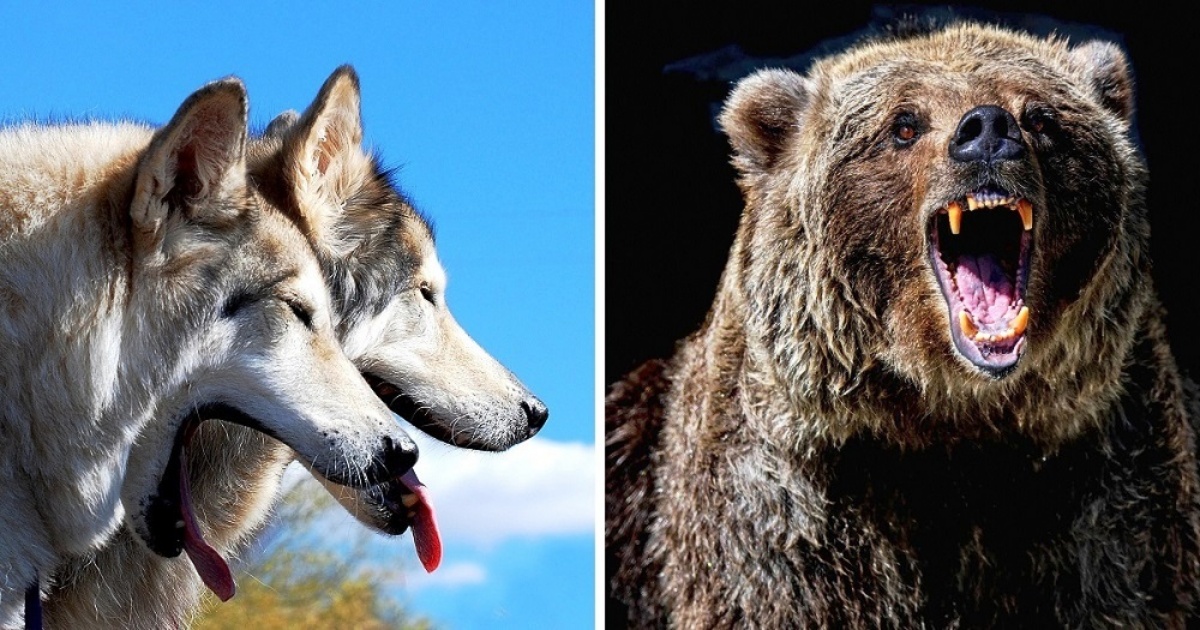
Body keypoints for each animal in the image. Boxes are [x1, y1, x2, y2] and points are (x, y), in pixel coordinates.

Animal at [604, 22, 1200, 624]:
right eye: (904, 125)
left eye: (1040, 117)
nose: (987, 130)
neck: (947, 419)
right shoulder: (789, 510)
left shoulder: (1102, 491)